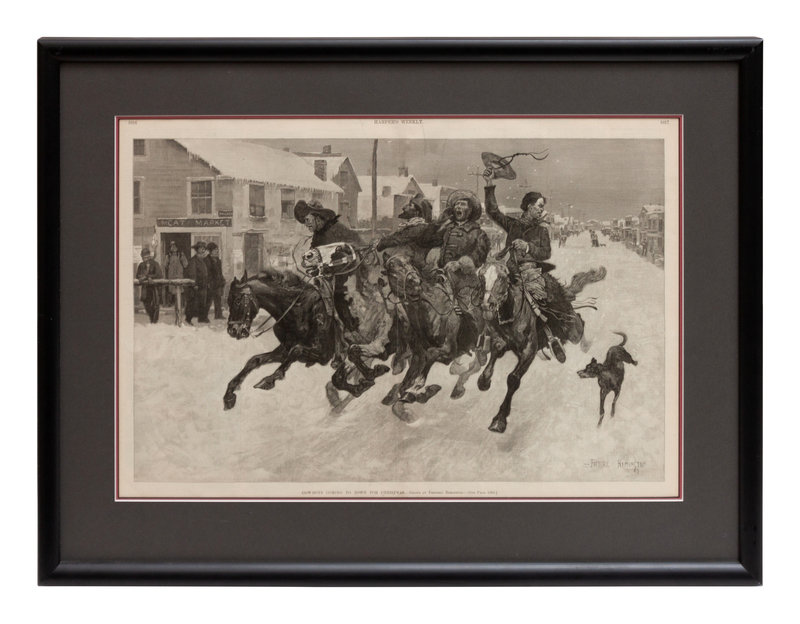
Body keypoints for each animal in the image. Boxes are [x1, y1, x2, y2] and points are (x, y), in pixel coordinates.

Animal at [223, 267, 394, 412]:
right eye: (228, 301)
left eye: (237, 300)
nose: (233, 330)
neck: (297, 310)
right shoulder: (284, 350)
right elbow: (255, 360)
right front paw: (229, 394)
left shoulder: (322, 354)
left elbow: (296, 351)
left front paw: (269, 379)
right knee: (343, 372)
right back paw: (366, 380)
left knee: (359, 356)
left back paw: (372, 373)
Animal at [381, 253, 488, 422]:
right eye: (391, 267)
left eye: (410, 261)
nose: (414, 281)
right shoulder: (418, 357)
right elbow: (402, 387)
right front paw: (403, 401)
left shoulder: (448, 350)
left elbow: (430, 356)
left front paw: (419, 388)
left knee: (475, 364)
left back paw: (460, 387)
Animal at [477, 261, 606, 433]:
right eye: (481, 277)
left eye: (502, 278)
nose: (487, 306)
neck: (512, 314)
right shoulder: (500, 340)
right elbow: (495, 353)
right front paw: (484, 380)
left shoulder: (529, 348)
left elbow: (513, 378)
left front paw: (500, 419)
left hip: (572, 329)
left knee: (578, 320)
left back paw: (584, 342)